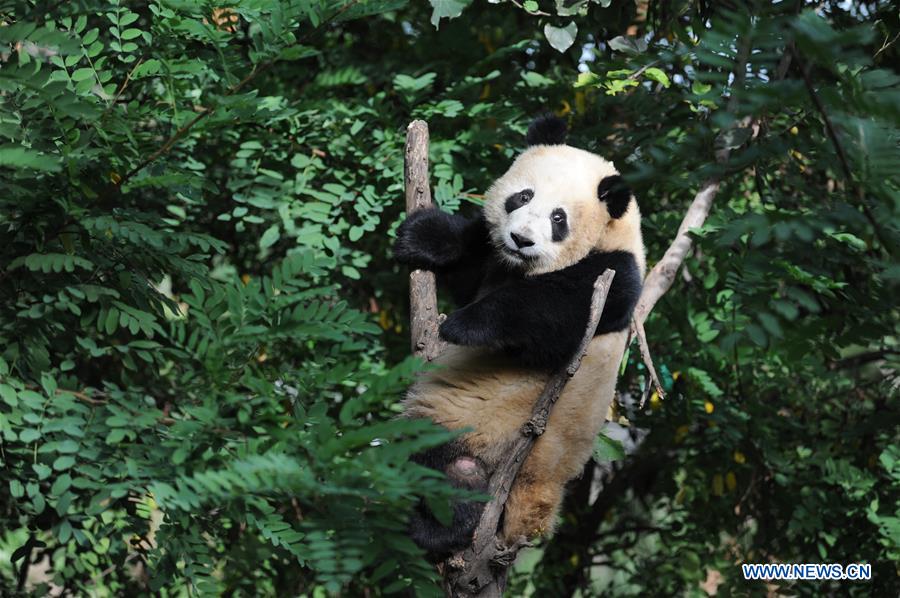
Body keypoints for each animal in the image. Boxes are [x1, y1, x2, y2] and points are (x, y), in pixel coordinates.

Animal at [394, 115, 646, 557]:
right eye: (522, 196)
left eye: (559, 219)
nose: (521, 240)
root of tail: (537, 495)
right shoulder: (495, 262)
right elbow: (471, 257)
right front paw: (422, 235)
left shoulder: (615, 276)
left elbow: (554, 309)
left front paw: (461, 325)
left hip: (483, 430)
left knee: (446, 472)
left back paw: (439, 527)